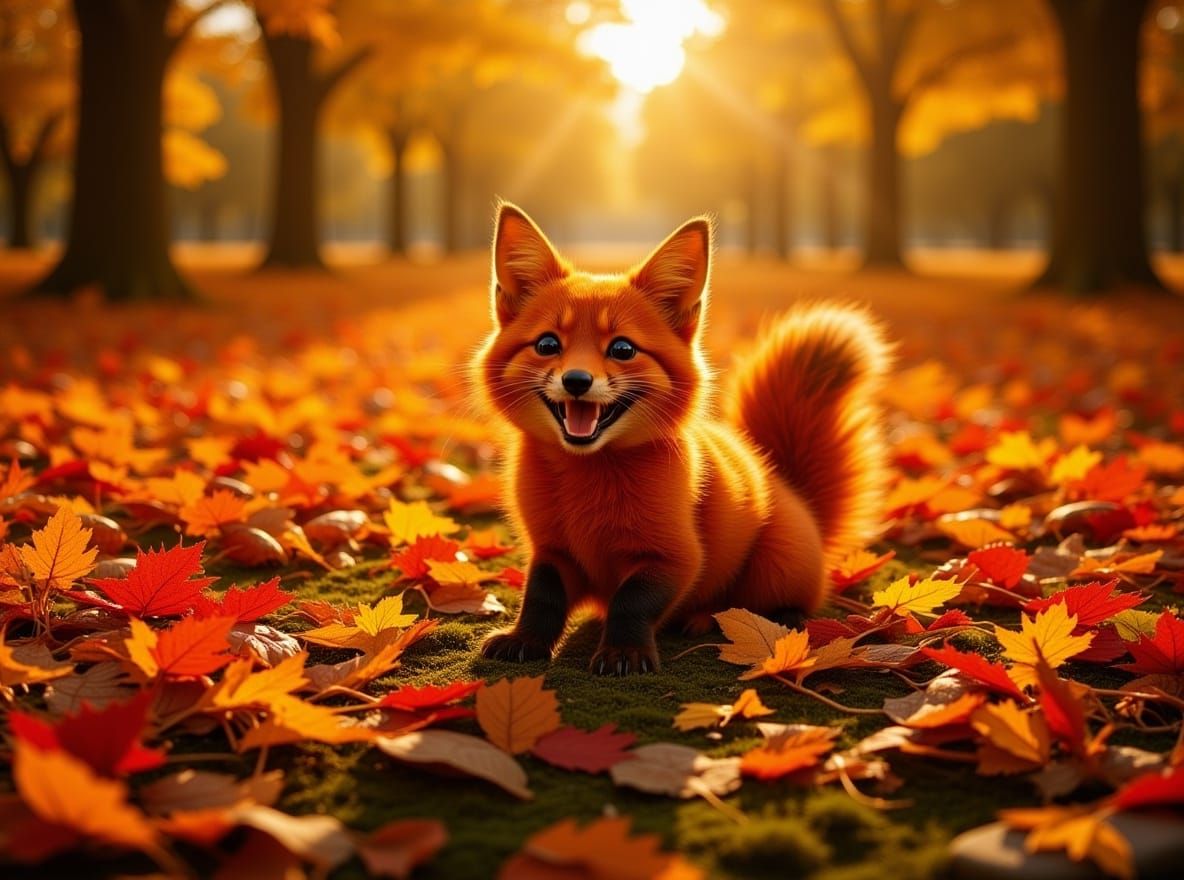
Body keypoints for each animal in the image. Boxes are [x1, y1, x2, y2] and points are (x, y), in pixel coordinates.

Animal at [476, 203, 892, 675]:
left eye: (622, 349)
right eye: (548, 344)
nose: (577, 381)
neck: (587, 483)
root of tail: (789, 486)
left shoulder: (676, 557)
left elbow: (631, 604)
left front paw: (624, 653)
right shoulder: (552, 550)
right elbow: (541, 598)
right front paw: (524, 641)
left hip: (776, 569)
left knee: (780, 607)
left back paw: (728, 619)